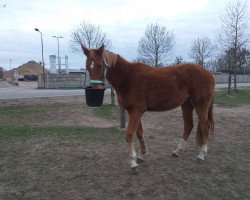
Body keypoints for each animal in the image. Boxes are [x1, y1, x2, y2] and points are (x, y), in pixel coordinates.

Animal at [81, 45, 214, 170]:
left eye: (100, 65)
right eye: (87, 66)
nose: (96, 91)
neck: (128, 78)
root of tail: (209, 74)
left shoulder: (136, 111)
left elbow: (129, 134)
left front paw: (133, 162)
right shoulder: (132, 111)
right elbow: (139, 132)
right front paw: (142, 155)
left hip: (200, 105)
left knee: (204, 126)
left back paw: (201, 155)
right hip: (186, 105)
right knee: (188, 125)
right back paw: (177, 151)